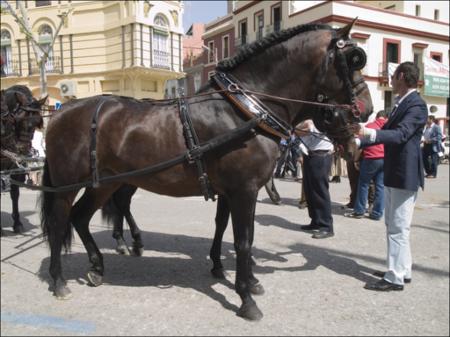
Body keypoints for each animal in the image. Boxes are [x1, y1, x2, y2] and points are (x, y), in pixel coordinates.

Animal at [0, 86, 45, 234]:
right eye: (19, 118)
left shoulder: (16, 167)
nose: (22, 149)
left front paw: (17, 223)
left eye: (37, 122)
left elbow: (15, 193)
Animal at [39, 22, 372, 318]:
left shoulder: (236, 191)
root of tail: (60, 113)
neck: (246, 109)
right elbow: (242, 241)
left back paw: (97, 267)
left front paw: (243, 277)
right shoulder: (243, 191)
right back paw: (59, 280)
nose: (366, 110)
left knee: (81, 217)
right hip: (68, 185)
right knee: (59, 223)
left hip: (105, 182)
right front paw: (246, 298)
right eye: (354, 60)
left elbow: (232, 231)